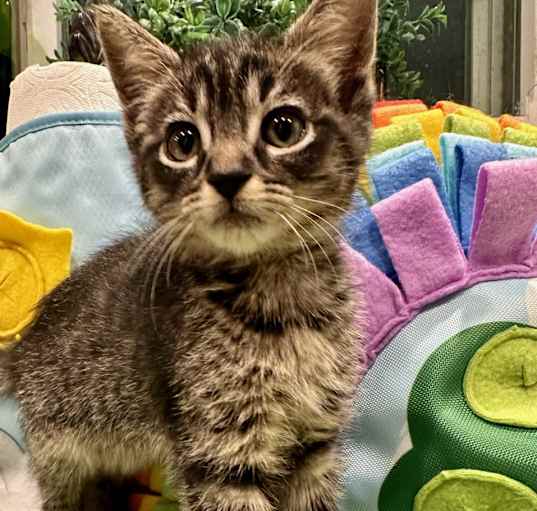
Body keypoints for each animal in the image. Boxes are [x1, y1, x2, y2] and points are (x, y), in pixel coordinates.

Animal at [0, 2, 376, 510]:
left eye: (284, 128)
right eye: (183, 142)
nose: (227, 176)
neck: (281, 302)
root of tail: (26, 346)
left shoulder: (316, 442)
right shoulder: (219, 450)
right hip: (60, 450)